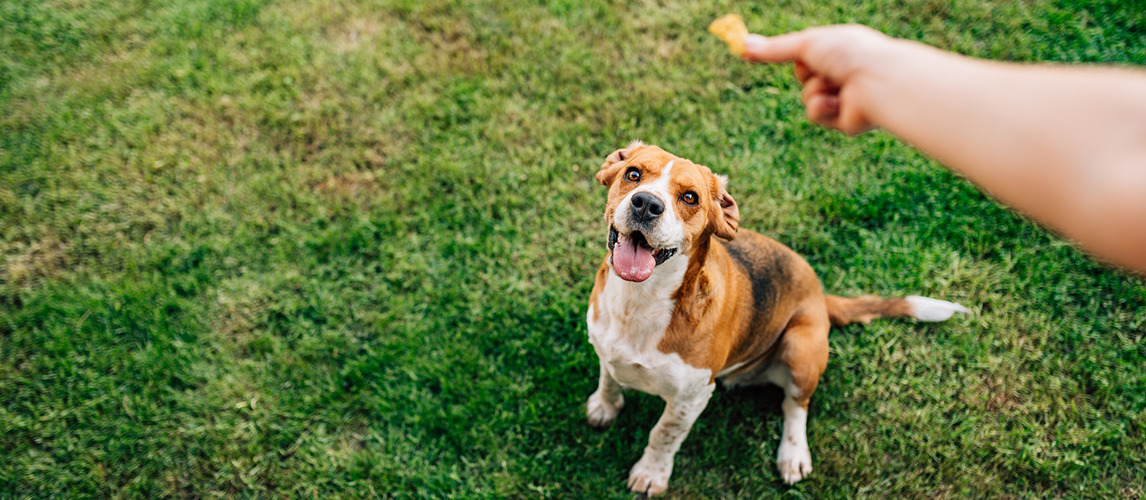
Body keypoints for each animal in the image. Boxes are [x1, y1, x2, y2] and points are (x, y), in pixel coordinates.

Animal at [582, 141, 967, 495]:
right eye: (633, 174)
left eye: (690, 197)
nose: (647, 204)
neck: (640, 301)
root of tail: (820, 296)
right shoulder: (605, 347)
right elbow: (608, 378)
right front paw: (605, 407)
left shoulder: (691, 398)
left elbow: (663, 434)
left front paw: (651, 474)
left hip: (800, 349)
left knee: (796, 405)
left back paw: (793, 455)